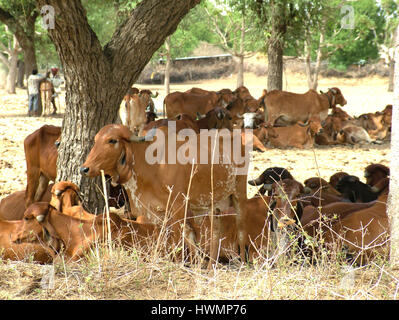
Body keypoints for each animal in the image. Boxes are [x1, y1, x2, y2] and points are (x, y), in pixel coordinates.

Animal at [80, 124, 250, 266]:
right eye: (95, 140)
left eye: (112, 140)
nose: (84, 169)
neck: (151, 165)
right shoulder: (156, 212)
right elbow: (167, 237)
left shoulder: (178, 207)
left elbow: (181, 237)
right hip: (213, 204)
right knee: (215, 231)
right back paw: (210, 266)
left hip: (239, 196)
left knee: (241, 231)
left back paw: (243, 264)